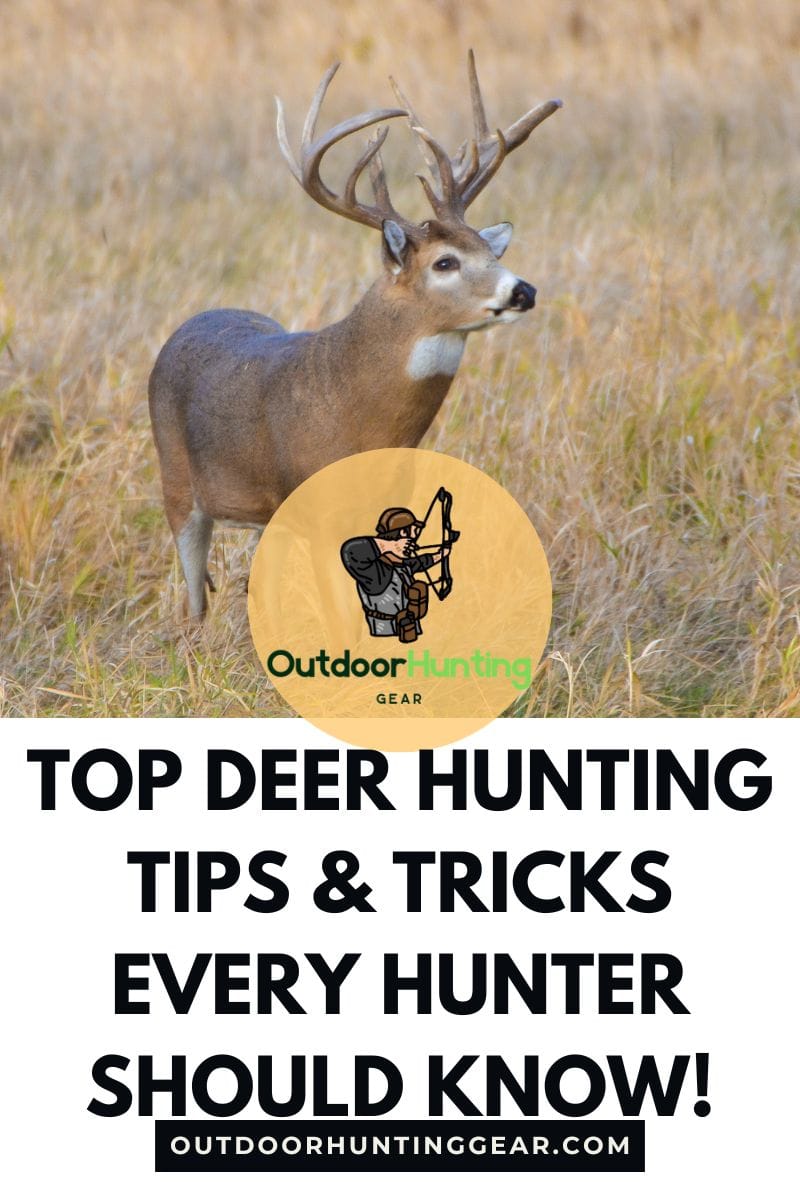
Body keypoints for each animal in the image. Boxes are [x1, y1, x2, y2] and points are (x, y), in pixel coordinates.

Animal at [148, 52, 562, 619]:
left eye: (489, 250)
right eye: (445, 262)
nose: (524, 290)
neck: (357, 413)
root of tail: (187, 325)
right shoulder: (318, 510)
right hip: (177, 483)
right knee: (194, 599)